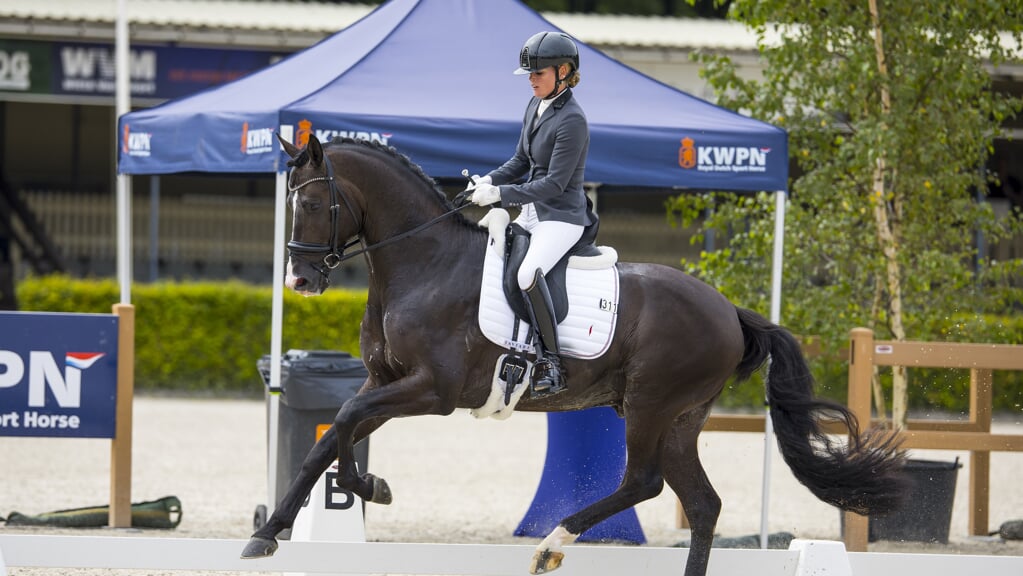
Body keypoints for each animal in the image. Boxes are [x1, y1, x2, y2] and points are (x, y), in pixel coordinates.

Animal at [241, 133, 912, 576]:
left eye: (310, 203)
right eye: (291, 200)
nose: (300, 281)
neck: (422, 263)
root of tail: (730, 311)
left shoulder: (432, 391)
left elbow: (345, 422)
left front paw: (368, 488)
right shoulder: (385, 380)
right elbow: (330, 438)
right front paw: (272, 533)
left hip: (649, 403)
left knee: (643, 481)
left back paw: (553, 544)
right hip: (681, 418)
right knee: (702, 503)